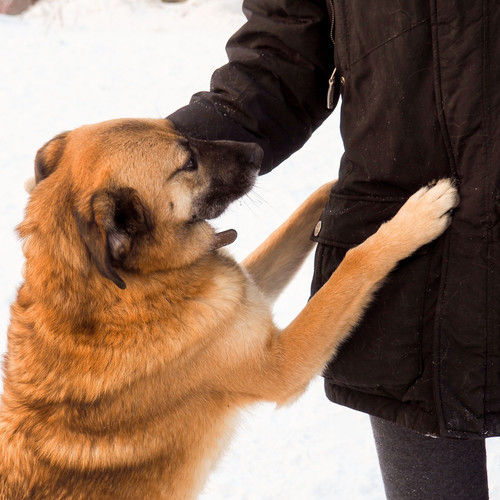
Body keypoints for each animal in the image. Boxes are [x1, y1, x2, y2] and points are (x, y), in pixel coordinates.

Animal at [0, 119, 458, 498]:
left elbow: (305, 211)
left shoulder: (245, 298)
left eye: (180, 128)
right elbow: (355, 265)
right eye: (188, 162)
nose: (256, 151)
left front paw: (338, 185)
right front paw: (414, 219)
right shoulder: (282, 363)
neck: (139, 281)